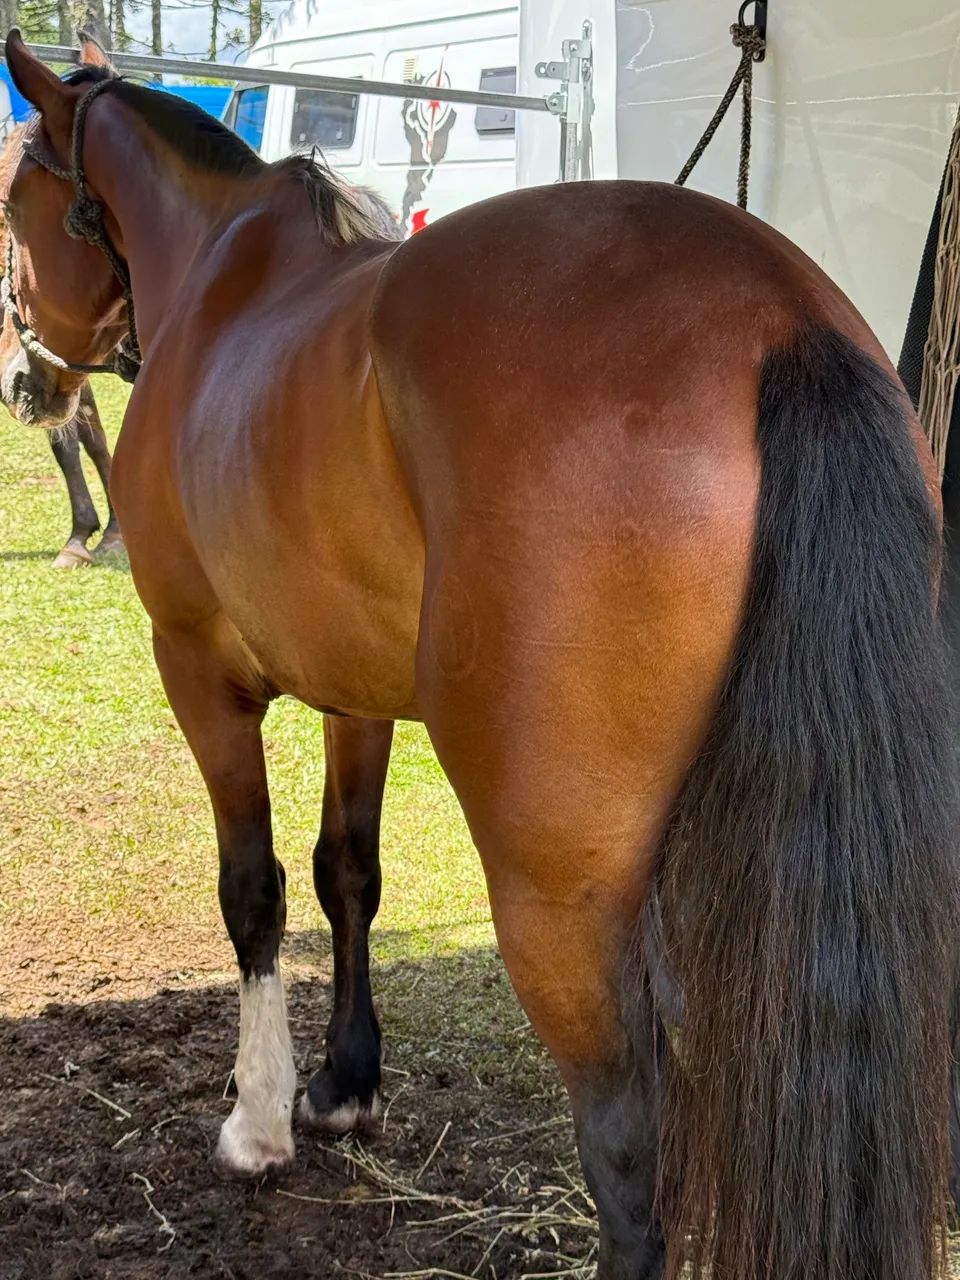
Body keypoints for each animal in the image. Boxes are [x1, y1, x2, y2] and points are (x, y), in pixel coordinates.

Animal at [3, 30, 958, 1280]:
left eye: (14, 203)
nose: (29, 385)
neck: (224, 277)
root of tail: (777, 318)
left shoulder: (200, 671)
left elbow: (254, 890)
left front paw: (257, 1118)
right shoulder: (352, 692)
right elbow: (346, 873)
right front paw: (345, 1081)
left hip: (562, 893)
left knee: (630, 1148)